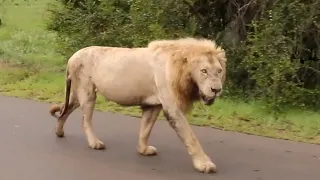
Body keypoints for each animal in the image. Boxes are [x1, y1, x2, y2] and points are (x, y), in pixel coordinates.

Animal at [48, 37, 226, 174]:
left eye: (219, 71)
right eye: (203, 71)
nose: (216, 90)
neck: (182, 71)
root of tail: (72, 57)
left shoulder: (153, 105)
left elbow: (145, 129)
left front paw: (143, 150)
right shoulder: (172, 108)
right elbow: (191, 137)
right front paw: (204, 164)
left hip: (77, 93)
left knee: (65, 110)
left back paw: (59, 131)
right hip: (87, 92)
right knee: (85, 120)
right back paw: (94, 143)